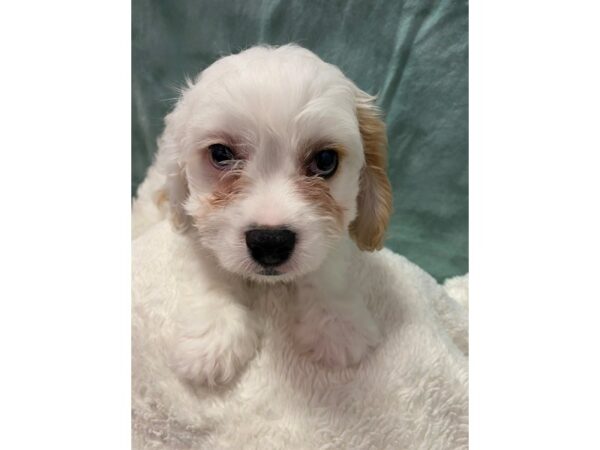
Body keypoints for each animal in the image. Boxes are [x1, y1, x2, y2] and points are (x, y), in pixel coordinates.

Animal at [152, 44, 392, 384]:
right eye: (220, 154)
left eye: (325, 160)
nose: (270, 242)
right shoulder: (198, 230)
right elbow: (211, 270)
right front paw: (213, 335)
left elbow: (327, 268)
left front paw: (337, 323)